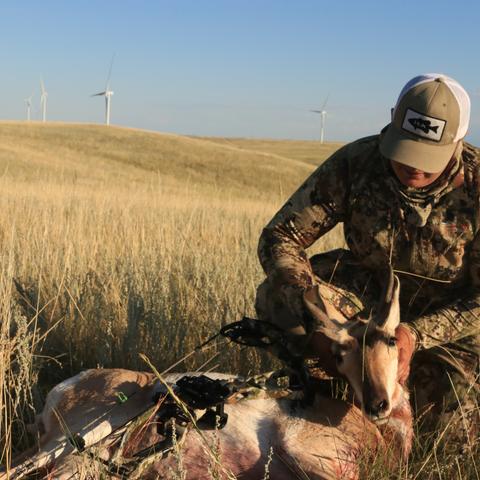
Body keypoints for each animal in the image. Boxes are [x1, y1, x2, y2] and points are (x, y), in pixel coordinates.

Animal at [2, 264, 412, 478]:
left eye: (391, 340)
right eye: (340, 355)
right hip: (77, 441)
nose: (378, 404)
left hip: (84, 459)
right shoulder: (306, 458)